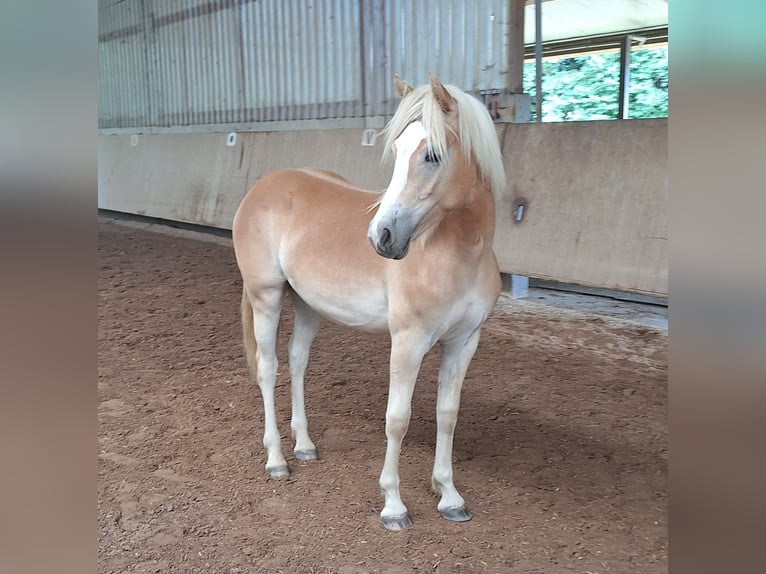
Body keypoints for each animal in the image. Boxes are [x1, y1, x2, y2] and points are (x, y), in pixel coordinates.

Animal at [234, 74, 510, 532]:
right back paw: (276, 459)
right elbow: (397, 420)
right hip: (266, 297)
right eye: (396, 150)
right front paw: (394, 506)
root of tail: (261, 187)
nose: (381, 236)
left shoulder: (464, 341)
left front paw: (449, 495)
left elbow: (447, 413)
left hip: (307, 305)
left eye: (432, 154)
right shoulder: (408, 342)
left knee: (297, 362)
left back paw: (305, 446)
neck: (458, 252)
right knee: (268, 369)